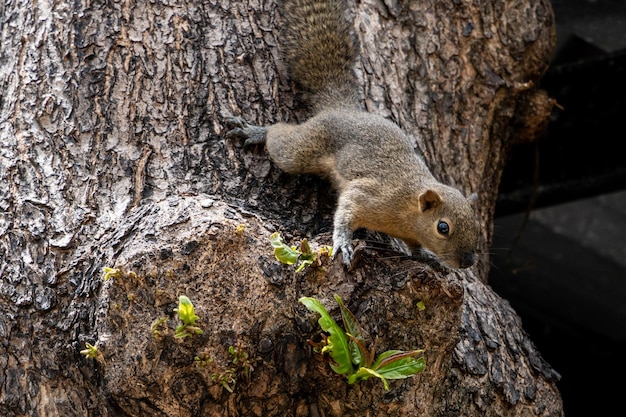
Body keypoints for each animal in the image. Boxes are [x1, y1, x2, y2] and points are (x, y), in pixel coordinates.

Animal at [225, 0, 478, 268]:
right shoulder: (368, 195)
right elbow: (345, 213)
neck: (408, 206)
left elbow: (414, 246)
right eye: (443, 227)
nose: (468, 261)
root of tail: (341, 108)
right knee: (281, 137)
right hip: (305, 146)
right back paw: (256, 131)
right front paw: (343, 242)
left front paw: (425, 256)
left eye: (475, 225)